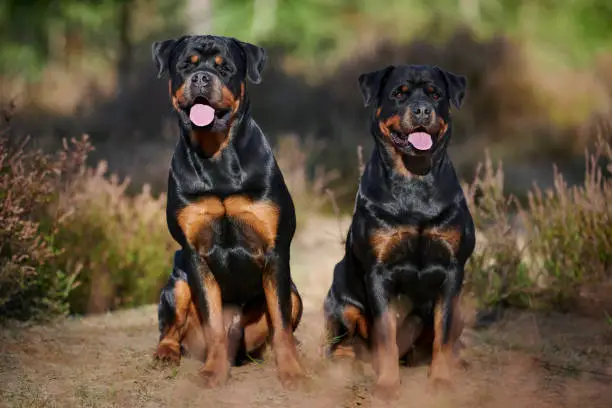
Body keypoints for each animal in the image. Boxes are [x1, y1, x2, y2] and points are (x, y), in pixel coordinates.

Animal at [152, 35, 304, 388]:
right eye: (187, 65)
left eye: (225, 69)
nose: (201, 78)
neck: (216, 154)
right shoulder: (195, 255)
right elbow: (213, 323)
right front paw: (213, 371)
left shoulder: (276, 251)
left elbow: (281, 323)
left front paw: (292, 372)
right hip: (177, 283)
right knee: (171, 327)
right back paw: (166, 352)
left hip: (295, 293)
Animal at [322, 65, 476, 396]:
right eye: (399, 93)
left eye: (435, 94)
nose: (422, 109)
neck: (414, 179)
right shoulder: (378, 271)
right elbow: (385, 332)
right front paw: (388, 384)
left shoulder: (453, 270)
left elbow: (443, 334)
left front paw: (441, 380)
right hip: (340, 297)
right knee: (343, 342)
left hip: (459, 309)